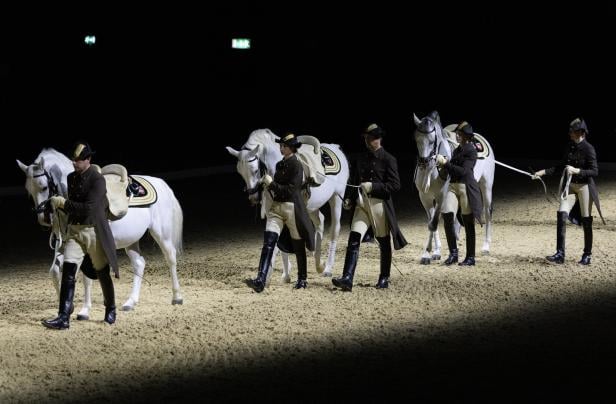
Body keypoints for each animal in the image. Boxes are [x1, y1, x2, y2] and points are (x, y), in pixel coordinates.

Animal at [16, 148, 183, 316]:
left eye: (44, 187)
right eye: (28, 190)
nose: (43, 219)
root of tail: (160, 183)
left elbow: (87, 278)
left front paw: (85, 310)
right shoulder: (64, 243)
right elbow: (55, 272)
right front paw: (68, 307)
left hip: (162, 234)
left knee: (170, 257)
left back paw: (177, 297)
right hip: (131, 240)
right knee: (139, 263)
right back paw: (130, 302)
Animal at [227, 129, 352, 280]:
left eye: (255, 170)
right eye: (240, 172)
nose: (253, 198)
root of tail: (336, 147)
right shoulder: (272, 210)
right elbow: (277, 236)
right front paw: (282, 274)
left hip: (336, 198)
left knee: (334, 229)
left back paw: (327, 268)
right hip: (312, 206)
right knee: (320, 221)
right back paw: (318, 262)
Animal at [414, 111, 496, 266]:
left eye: (433, 140)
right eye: (416, 139)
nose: (424, 163)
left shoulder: (441, 196)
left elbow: (434, 223)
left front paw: (428, 253)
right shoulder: (425, 197)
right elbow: (431, 223)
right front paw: (433, 253)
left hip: (486, 186)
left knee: (487, 213)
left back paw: (486, 247)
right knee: (456, 219)